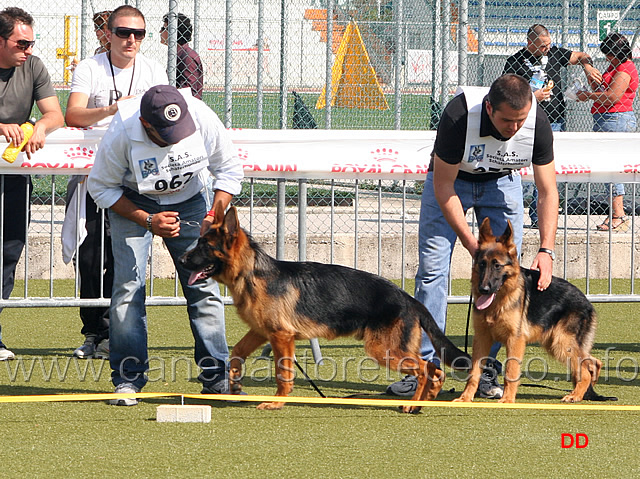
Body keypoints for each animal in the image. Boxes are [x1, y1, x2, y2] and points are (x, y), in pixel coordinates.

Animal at [180, 203, 470, 412]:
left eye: (205, 246)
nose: (182, 260)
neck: (252, 273)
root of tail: (409, 298)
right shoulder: (261, 332)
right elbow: (236, 354)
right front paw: (235, 385)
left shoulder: (281, 337)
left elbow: (283, 373)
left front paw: (277, 401)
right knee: (435, 370)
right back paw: (426, 399)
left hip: (383, 350)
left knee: (424, 368)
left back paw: (414, 403)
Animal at [456, 219, 616, 404]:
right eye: (482, 264)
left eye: (497, 266)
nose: (484, 289)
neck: (500, 300)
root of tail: (586, 301)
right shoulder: (482, 338)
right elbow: (474, 372)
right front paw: (465, 398)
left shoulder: (515, 340)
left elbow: (511, 370)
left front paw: (507, 399)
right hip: (556, 342)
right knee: (592, 362)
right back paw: (584, 392)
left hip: (562, 343)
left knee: (586, 368)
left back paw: (575, 394)